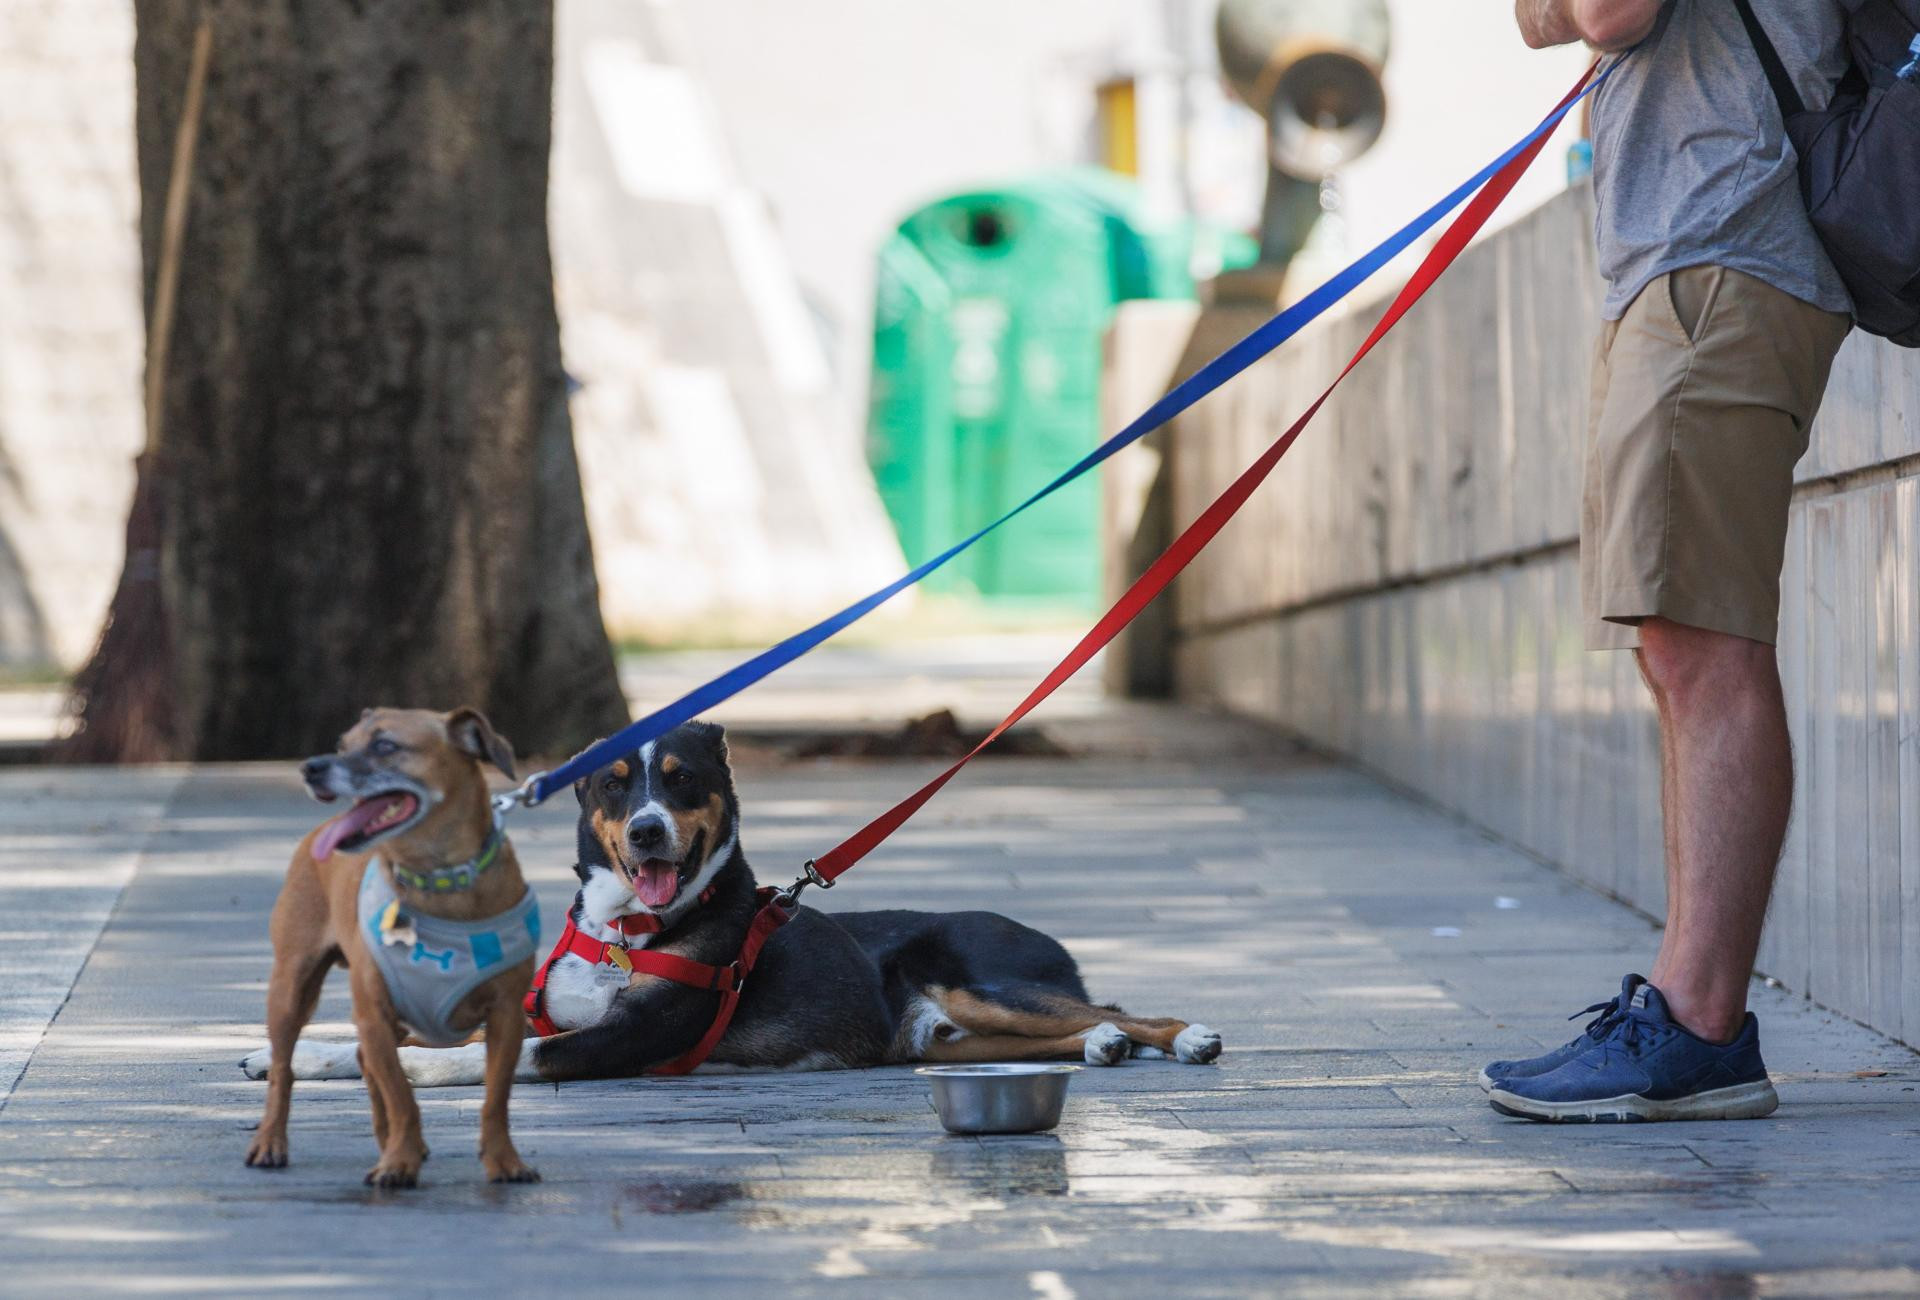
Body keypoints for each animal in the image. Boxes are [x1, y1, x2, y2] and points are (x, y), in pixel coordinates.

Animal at [243, 707, 541, 1187]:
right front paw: (399, 1161)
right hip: (292, 986)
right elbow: (400, 1093)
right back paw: (271, 1143)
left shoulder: (507, 1015)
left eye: (386, 746)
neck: (440, 879)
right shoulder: (375, 1014)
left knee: (365, 1064)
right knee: (284, 1070)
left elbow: (496, 1099)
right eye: (343, 744)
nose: (311, 767)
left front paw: (504, 1161)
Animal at [244, 720, 1220, 1088]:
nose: (646, 833)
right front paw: (296, 1054)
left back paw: (1186, 1037)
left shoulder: (620, 1040)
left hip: (978, 981)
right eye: (613, 784)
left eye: (680, 781)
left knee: (1120, 1006)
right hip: (946, 1034)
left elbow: (465, 1056)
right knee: (1073, 1026)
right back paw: (1101, 1046)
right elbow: (394, 1037)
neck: (631, 932)